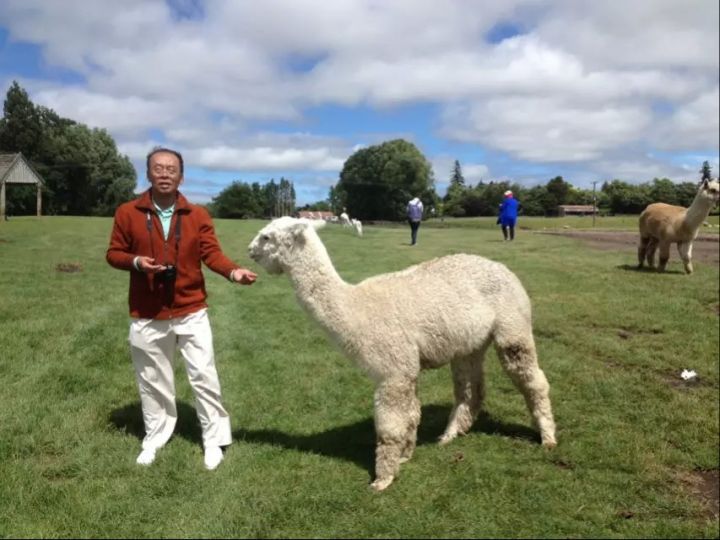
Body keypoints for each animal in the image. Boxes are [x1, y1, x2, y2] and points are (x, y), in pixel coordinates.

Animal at [248, 217, 556, 491]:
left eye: (267, 237)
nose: (250, 250)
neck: (356, 309)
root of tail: (504, 268)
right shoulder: (406, 368)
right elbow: (411, 415)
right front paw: (405, 456)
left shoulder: (393, 370)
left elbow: (390, 425)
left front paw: (382, 479)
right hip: (468, 343)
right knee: (471, 389)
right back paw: (449, 435)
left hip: (513, 326)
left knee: (532, 380)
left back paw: (548, 436)